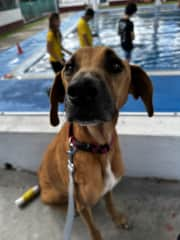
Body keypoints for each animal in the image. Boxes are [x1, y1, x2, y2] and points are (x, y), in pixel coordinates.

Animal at [38, 46, 153, 239]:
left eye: (115, 65)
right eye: (69, 67)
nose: (80, 91)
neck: (97, 146)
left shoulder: (108, 188)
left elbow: (110, 204)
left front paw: (118, 219)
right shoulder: (83, 205)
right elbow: (94, 230)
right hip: (53, 196)